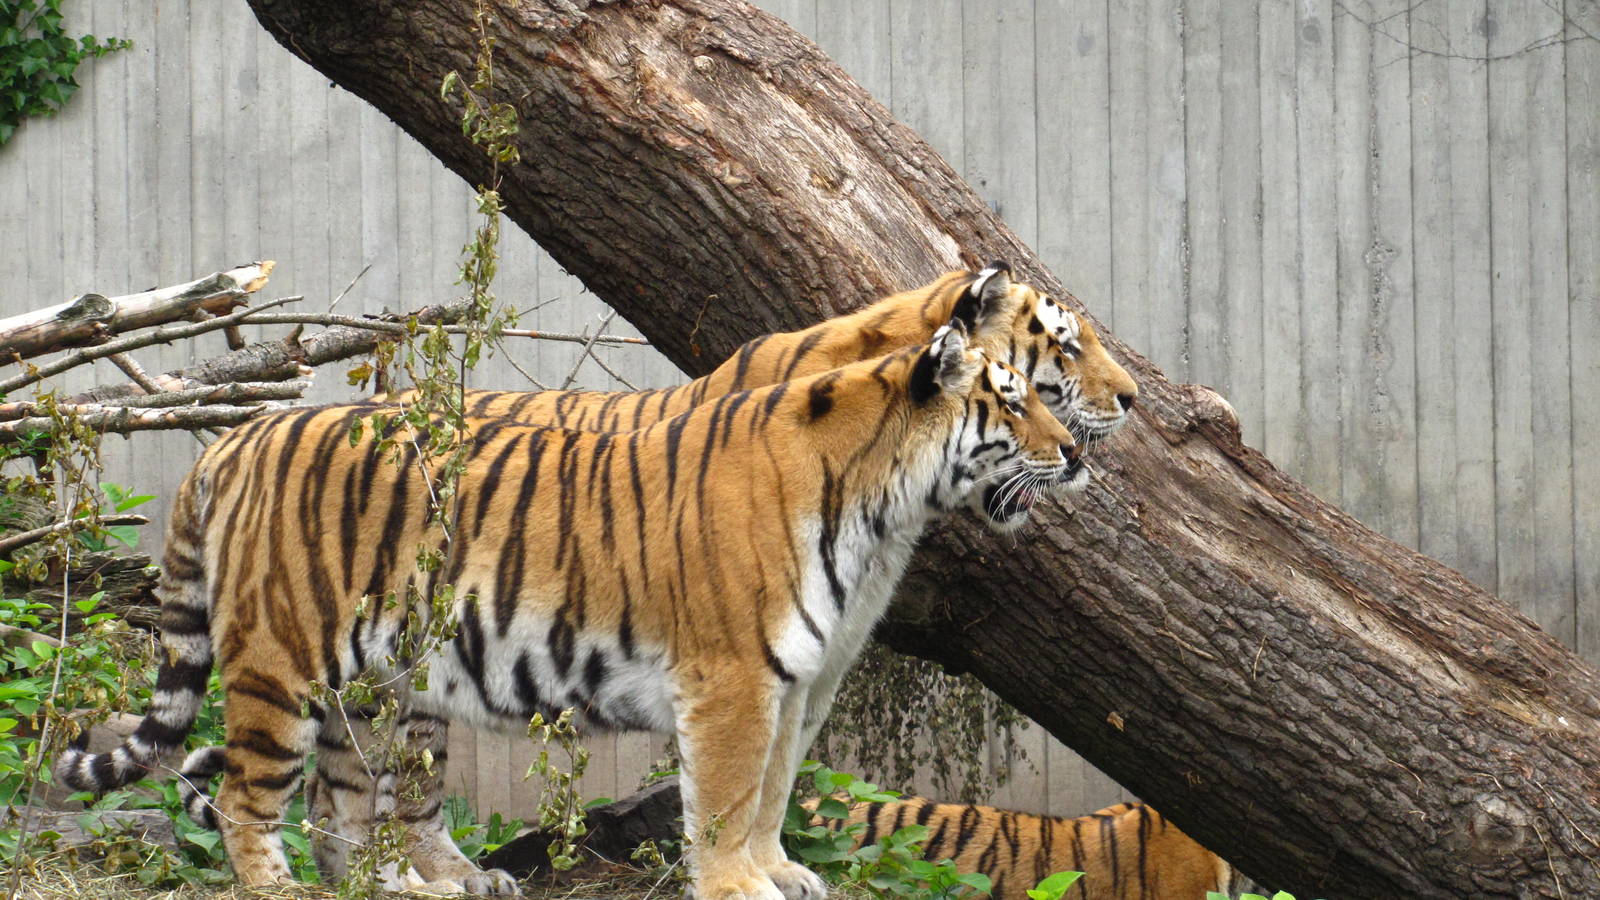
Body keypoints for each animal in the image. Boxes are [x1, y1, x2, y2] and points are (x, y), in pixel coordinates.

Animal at [180, 261, 1140, 886]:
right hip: (295, 658)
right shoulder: (743, 672)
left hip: (387, 683)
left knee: (350, 798)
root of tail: (236, 439)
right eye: (1064, 346)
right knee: (261, 800)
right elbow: (736, 791)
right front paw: (747, 878)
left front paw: (778, 871)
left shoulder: (810, 669)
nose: (1130, 402)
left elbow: (775, 782)